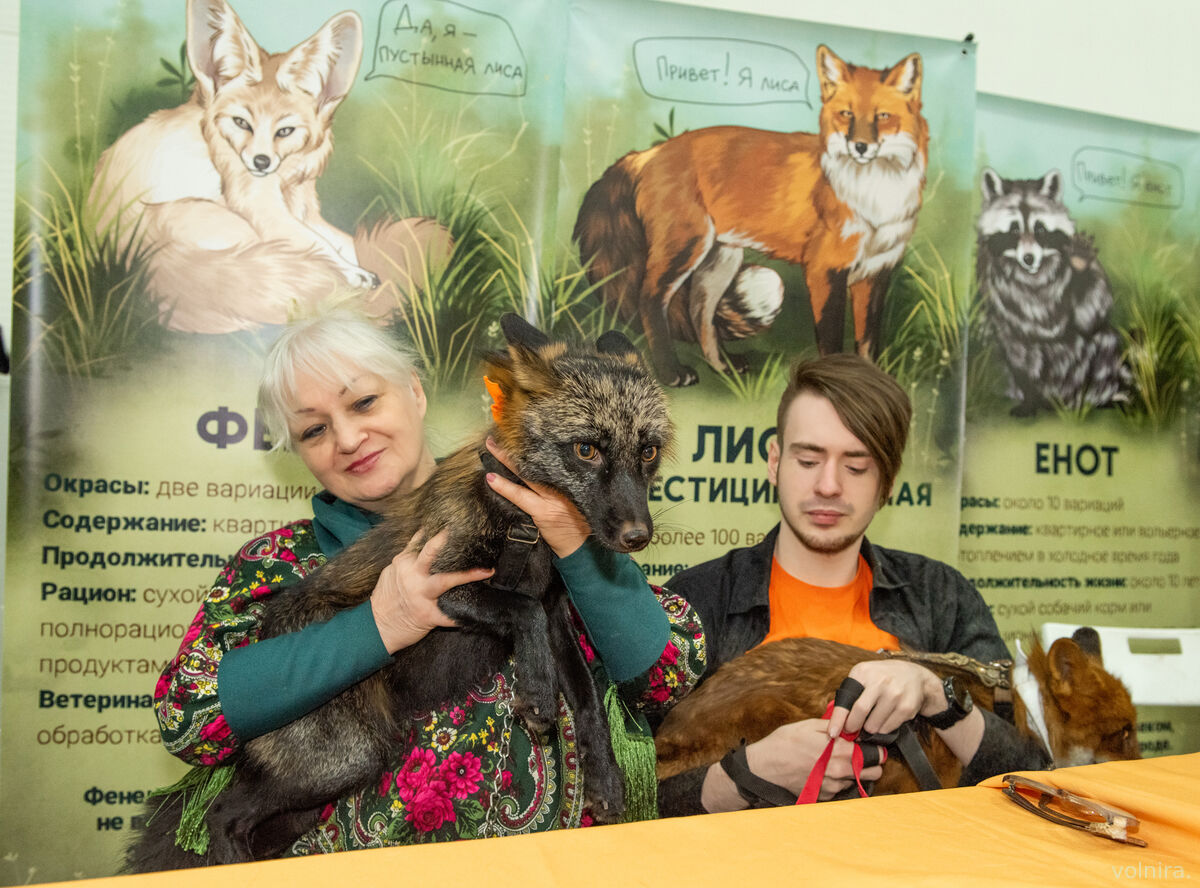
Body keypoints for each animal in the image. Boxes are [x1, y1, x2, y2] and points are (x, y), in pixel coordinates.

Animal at [87, 0, 450, 334]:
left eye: (285, 131)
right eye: (241, 123)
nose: (260, 162)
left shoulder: (303, 205)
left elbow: (341, 242)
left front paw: (359, 271)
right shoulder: (257, 204)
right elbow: (317, 246)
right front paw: (352, 276)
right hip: (226, 226)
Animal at [574, 44, 927, 386]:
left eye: (883, 116)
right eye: (847, 115)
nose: (860, 147)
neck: (875, 200)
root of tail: (650, 152)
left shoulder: (876, 272)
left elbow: (868, 344)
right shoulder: (825, 269)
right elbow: (831, 344)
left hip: (719, 260)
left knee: (700, 314)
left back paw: (723, 365)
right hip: (685, 247)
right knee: (650, 300)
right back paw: (671, 372)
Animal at [975, 167, 1130, 415]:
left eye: (1039, 229)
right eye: (1014, 229)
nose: (1029, 258)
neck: (1031, 274)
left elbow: (1089, 318)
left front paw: (1081, 264)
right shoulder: (997, 295)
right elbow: (1013, 339)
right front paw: (1029, 398)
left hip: (1095, 362)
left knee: (1105, 340)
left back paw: (1099, 396)